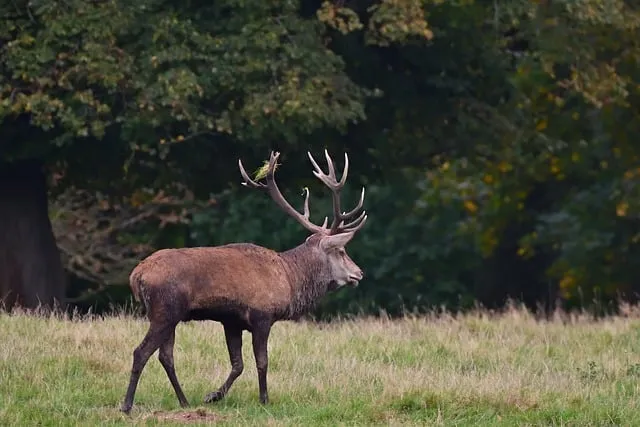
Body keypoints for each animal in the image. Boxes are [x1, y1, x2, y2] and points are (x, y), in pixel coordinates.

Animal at [120, 150, 368, 414]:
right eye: (341, 251)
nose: (359, 273)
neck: (290, 279)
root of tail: (136, 275)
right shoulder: (262, 315)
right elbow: (262, 361)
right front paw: (264, 399)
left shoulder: (231, 321)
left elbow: (237, 364)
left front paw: (213, 396)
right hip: (165, 310)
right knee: (141, 352)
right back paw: (127, 405)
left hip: (170, 316)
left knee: (165, 356)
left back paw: (184, 401)